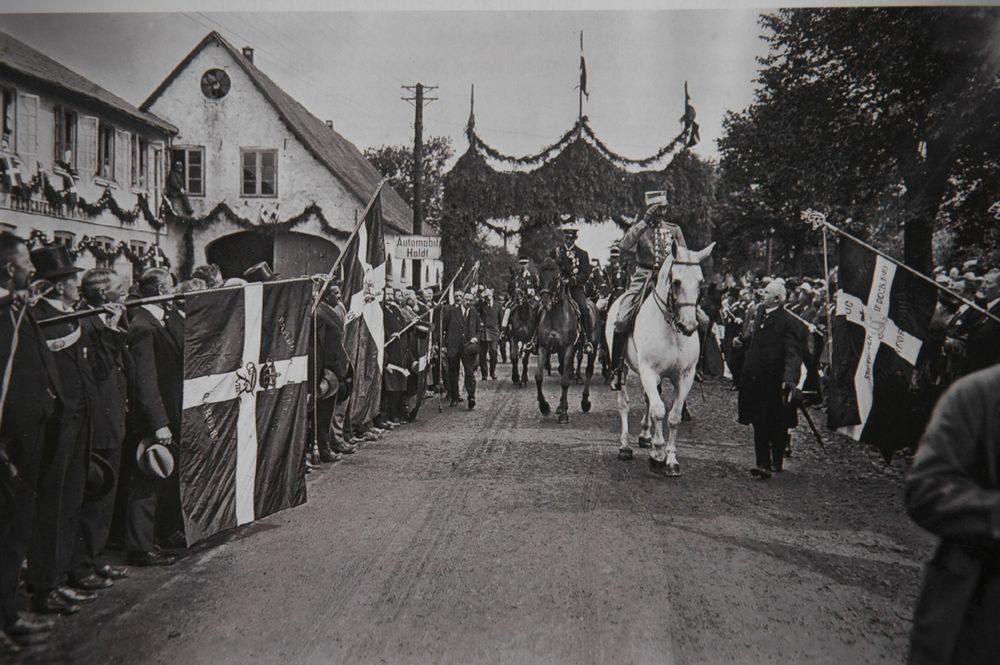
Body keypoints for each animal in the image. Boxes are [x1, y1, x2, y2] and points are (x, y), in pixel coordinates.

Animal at [540, 278, 592, 422]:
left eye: (555, 276)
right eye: (540, 274)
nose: (545, 302)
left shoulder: (568, 348)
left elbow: (564, 382)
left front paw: (563, 415)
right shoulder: (544, 348)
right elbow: (538, 377)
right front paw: (544, 407)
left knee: (588, 371)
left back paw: (585, 402)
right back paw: (561, 406)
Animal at [604, 241, 716, 474]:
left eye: (701, 282)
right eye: (676, 281)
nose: (689, 326)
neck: (672, 328)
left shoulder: (685, 376)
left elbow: (673, 416)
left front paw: (671, 459)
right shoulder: (649, 371)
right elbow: (658, 410)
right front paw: (657, 454)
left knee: (648, 398)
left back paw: (646, 435)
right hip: (625, 368)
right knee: (624, 403)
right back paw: (625, 446)